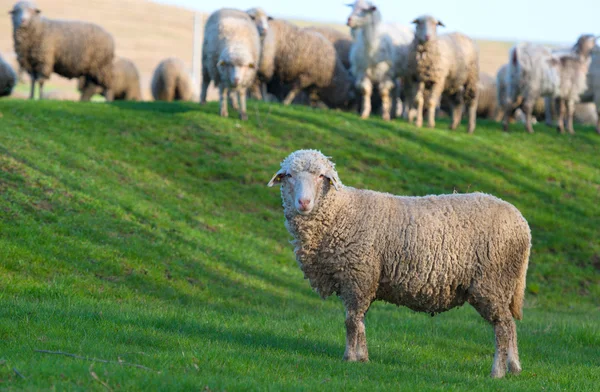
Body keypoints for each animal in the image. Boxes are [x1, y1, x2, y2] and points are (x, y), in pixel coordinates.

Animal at [270, 149, 532, 378]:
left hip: (492, 281)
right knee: (511, 326)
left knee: (503, 327)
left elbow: (352, 321)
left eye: (321, 176)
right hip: (503, 284)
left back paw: (497, 372)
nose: (304, 203)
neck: (341, 212)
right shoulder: (360, 280)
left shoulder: (357, 277)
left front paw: (350, 359)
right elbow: (359, 322)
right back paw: (515, 367)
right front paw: (363, 358)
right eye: (289, 176)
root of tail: (522, 224)